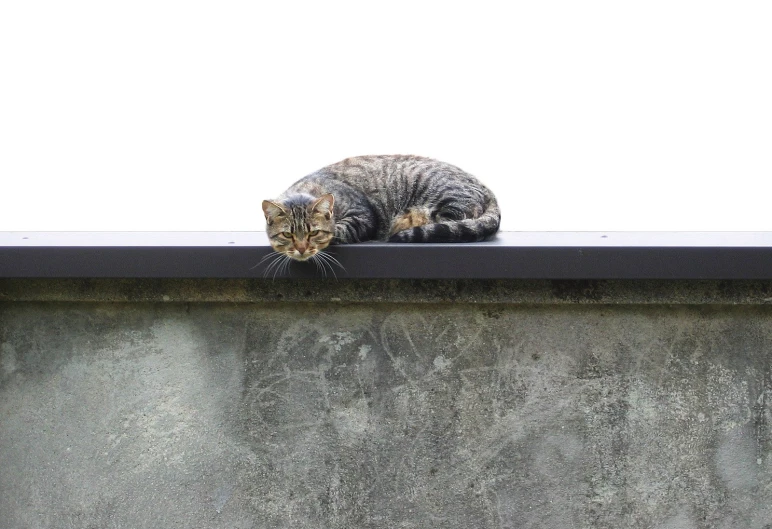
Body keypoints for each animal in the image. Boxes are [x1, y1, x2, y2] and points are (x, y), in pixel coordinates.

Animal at [260, 155, 500, 266]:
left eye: (313, 232)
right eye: (287, 234)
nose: (301, 248)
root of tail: (487, 189)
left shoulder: (363, 216)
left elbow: (339, 231)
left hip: (444, 198)